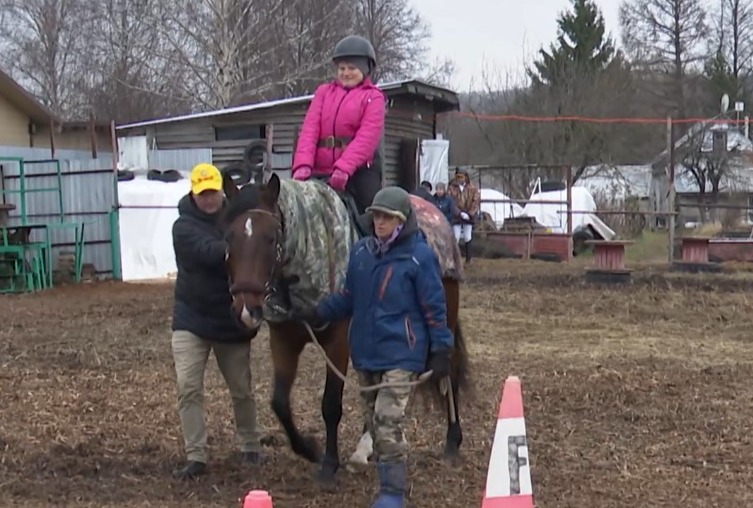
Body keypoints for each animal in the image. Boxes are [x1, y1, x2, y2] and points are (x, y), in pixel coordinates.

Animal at [217, 171, 468, 484]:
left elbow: (330, 404)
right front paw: (309, 449)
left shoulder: (337, 344)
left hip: (443, 321)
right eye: (228, 237)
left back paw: (452, 441)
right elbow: (279, 403)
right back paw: (366, 448)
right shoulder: (283, 341)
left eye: (270, 237)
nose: (245, 309)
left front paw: (328, 463)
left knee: (449, 375)